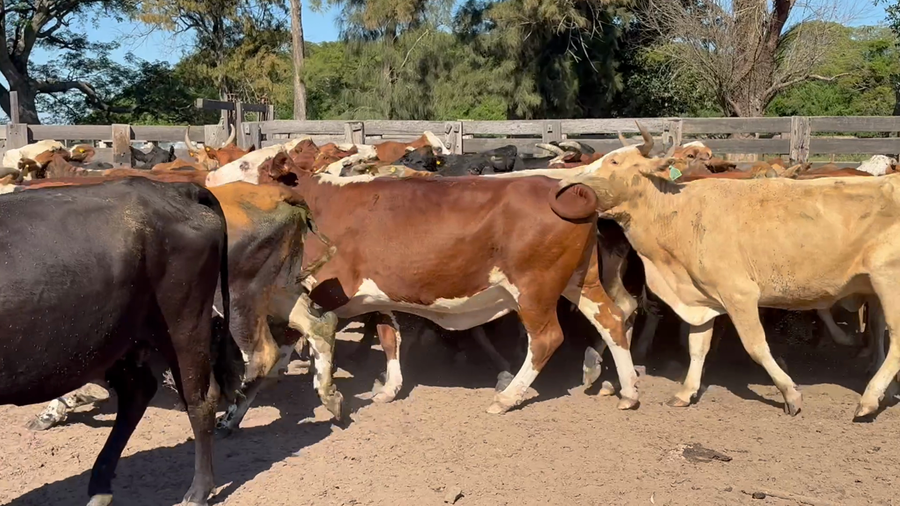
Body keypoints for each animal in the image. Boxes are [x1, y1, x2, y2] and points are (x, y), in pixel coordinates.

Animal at [0, 177, 239, 506]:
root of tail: (177, 189)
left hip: (183, 324)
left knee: (199, 399)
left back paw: (198, 491)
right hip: (114, 340)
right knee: (138, 391)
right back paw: (100, 487)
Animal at [205, 150, 641, 416]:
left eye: (246, 164)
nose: (208, 175)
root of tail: (561, 187)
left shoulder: (319, 291)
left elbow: (288, 344)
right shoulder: (376, 296)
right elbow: (388, 336)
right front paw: (388, 387)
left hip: (534, 289)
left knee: (547, 338)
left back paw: (506, 397)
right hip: (580, 280)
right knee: (613, 318)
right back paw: (628, 390)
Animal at [555, 123, 900, 420]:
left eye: (613, 161)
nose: (566, 183)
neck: (677, 214)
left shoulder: (739, 294)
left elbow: (756, 346)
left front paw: (790, 393)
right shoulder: (700, 297)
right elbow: (697, 347)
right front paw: (686, 392)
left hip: (888, 283)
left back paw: (869, 398)